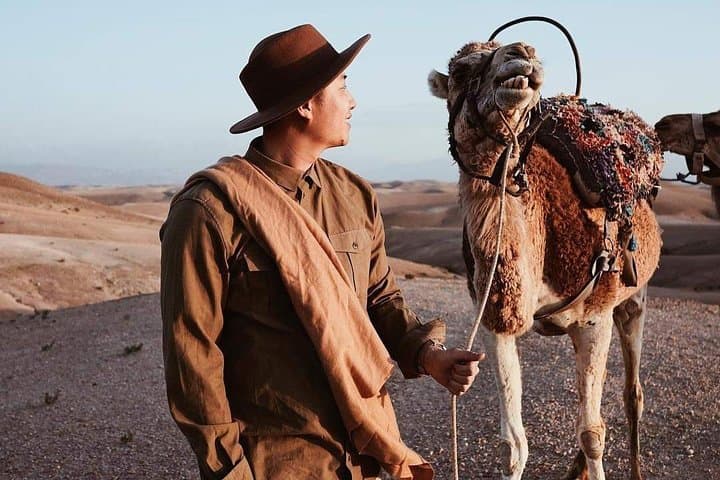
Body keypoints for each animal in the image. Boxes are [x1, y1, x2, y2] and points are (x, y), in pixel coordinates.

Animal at [428, 40, 662, 480]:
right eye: (462, 70)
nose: (521, 53)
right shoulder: (496, 318)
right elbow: (513, 444)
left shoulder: (595, 317)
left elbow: (592, 432)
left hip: (634, 297)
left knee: (631, 394)